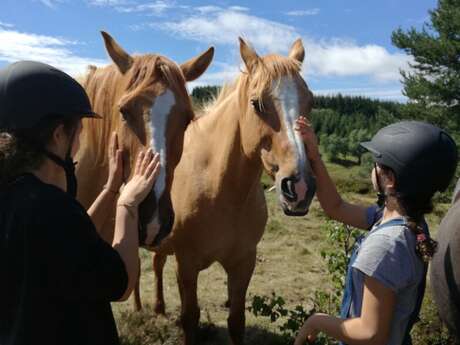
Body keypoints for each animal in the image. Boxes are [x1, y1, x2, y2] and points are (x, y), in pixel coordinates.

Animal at [151, 38, 316, 344]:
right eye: (257, 103)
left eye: (310, 101)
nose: (299, 186)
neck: (219, 188)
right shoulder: (186, 264)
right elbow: (190, 318)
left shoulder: (243, 262)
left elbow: (236, 320)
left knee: (156, 264)